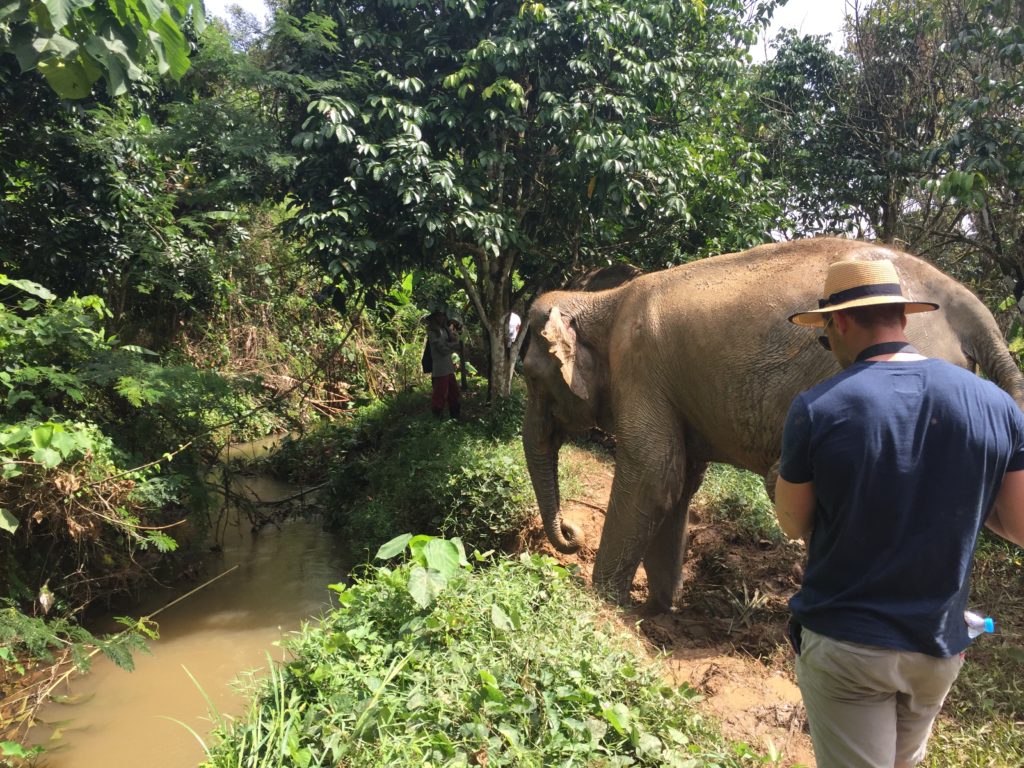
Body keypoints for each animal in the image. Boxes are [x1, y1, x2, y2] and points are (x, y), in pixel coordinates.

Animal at [524, 239, 1019, 614]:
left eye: (530, 378)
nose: (571, 534)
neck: (601, 301)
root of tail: (966, 304)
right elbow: (680, 481)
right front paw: (658, 610)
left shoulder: (639, 369)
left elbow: (653, 472)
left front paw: (603, 604)